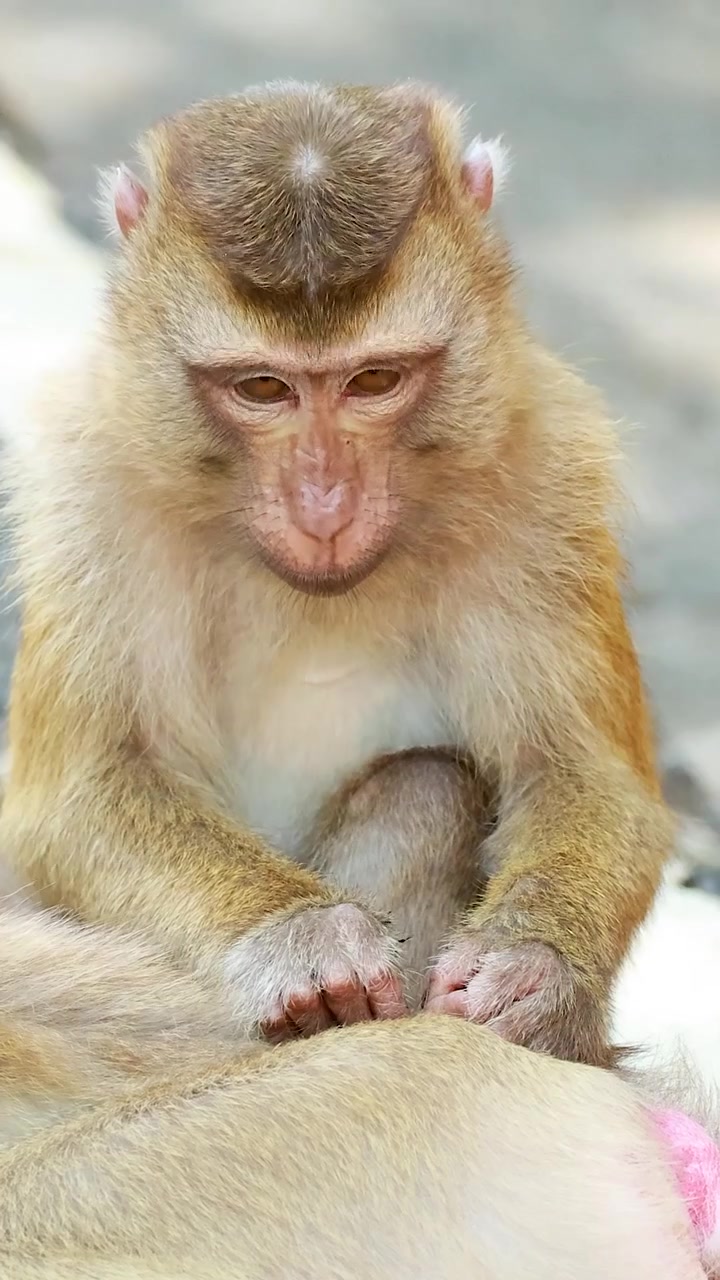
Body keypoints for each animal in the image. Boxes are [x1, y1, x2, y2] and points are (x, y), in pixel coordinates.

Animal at [0, 80, 673, 1067]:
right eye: (263, 389)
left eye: (374, 380)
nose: (324, 508)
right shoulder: (87, 486)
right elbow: (84, 792)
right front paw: (301, 937)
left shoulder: (550, 470)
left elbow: (579, 773)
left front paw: (535, 976)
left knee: (427, 785)